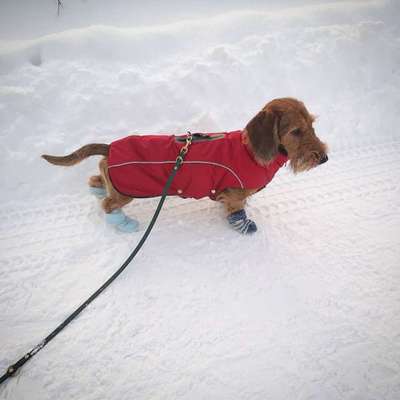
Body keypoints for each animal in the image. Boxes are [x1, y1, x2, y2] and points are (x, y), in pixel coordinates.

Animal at [42, 97, 328, 234]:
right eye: (295, 131)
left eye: (312, 125)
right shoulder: (235, 194)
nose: (324, 158)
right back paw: (123, 224)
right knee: (108, 205)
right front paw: (243, 226)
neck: (250, 151)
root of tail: (110, 147)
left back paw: (98, 189)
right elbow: (237, 212)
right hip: (126, 192)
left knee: (96, 180)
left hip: (115, 181)